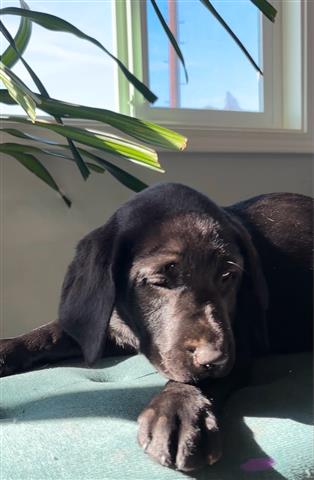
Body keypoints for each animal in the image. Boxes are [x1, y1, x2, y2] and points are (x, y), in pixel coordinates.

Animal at [1, 185, 312, 472]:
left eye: (227, 275)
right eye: (158, 281)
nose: (214, 359)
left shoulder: (239, 346)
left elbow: (194, 378)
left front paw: (178, 410)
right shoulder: (107, 326)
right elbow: (47, 333)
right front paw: (7, 348)